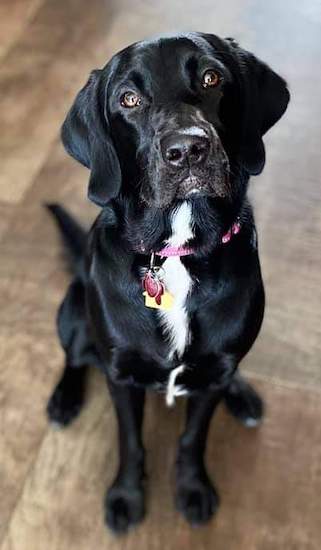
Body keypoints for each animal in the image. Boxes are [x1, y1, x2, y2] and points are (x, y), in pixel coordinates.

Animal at [46, 33, 288, 536]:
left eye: (212, 78)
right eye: (128, 99)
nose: (188, 150)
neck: (175, 252)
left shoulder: (212, 376)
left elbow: (194, 438)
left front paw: (193, 489)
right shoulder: (120, 375)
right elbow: (130, 440)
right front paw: (126, 496)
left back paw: (243, 394)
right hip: (73, 309)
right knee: (74, 355)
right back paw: (63, 398)